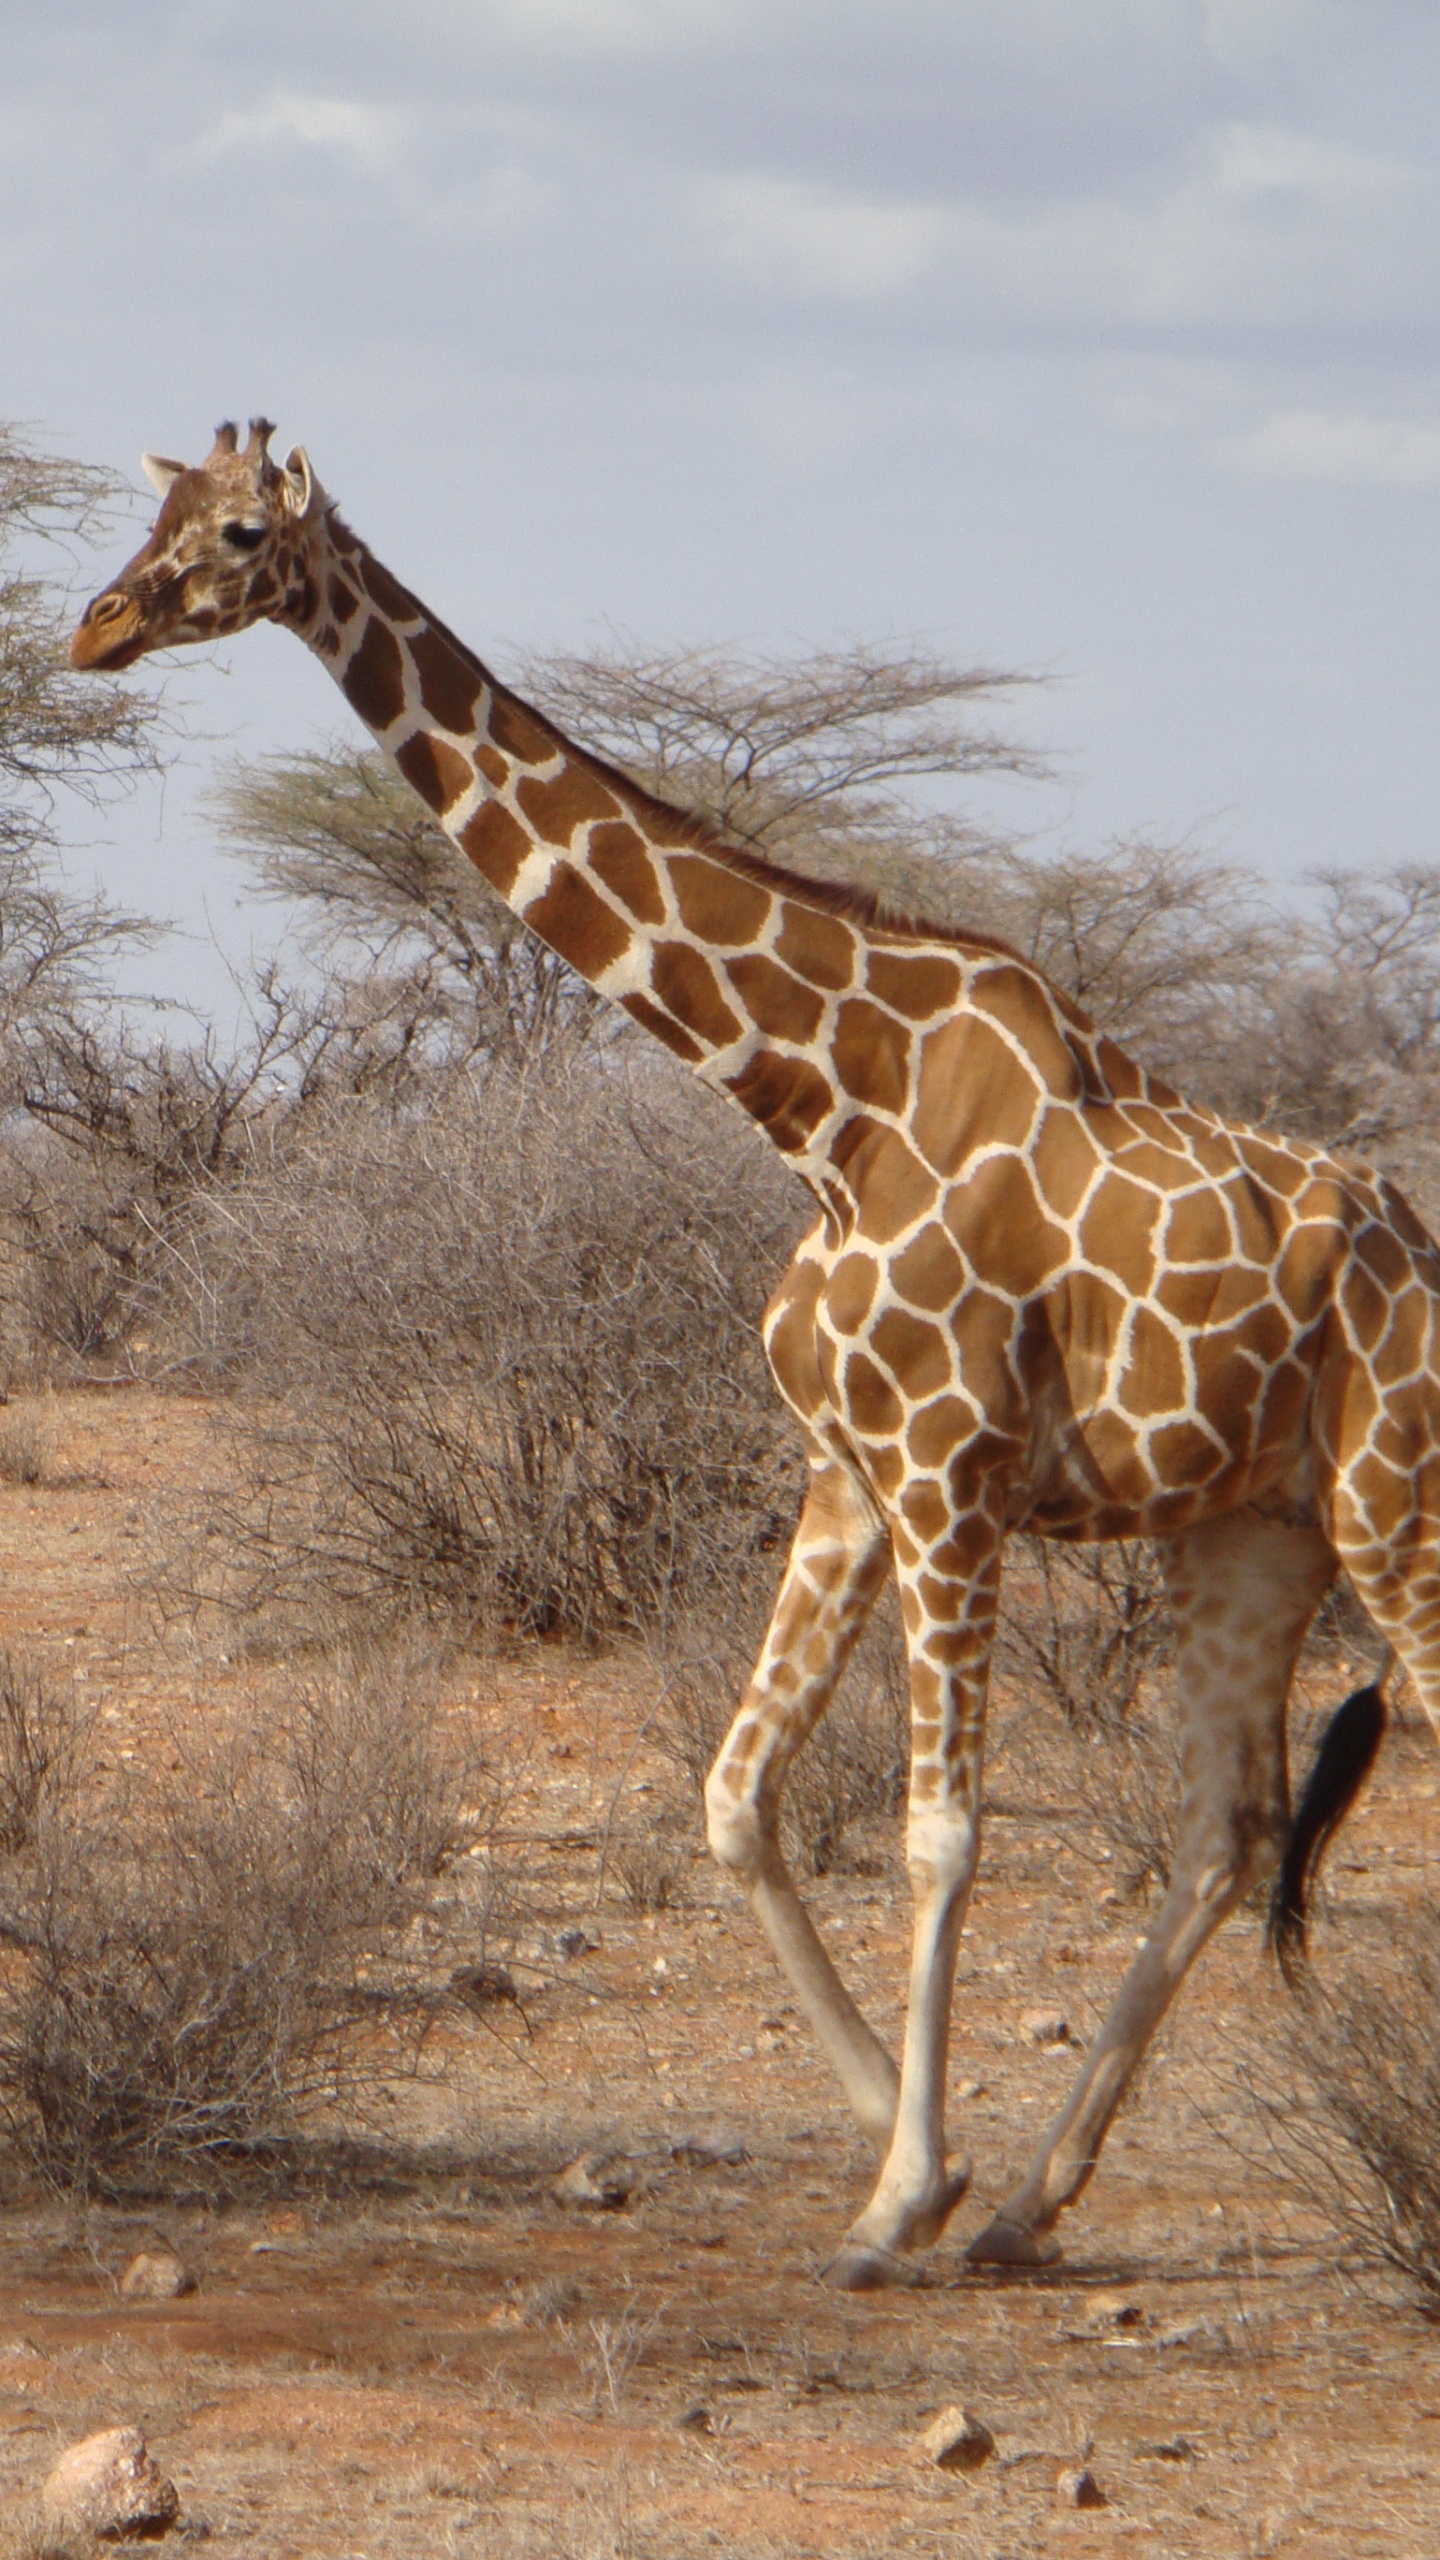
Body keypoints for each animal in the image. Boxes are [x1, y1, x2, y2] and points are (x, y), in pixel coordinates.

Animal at [71, 419, 1435, 2288]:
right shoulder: (846, 1476)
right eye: (154, 512)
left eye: (237, 534)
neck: (824, 1103)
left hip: (1397, 1507)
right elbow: (732, 1797)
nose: (94, 629)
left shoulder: (950, 1483)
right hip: (1259, 1535)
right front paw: (927, 2173)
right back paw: (1031, 2208)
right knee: (1226, 1834)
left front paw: (893, 2200)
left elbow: (939, 1836)